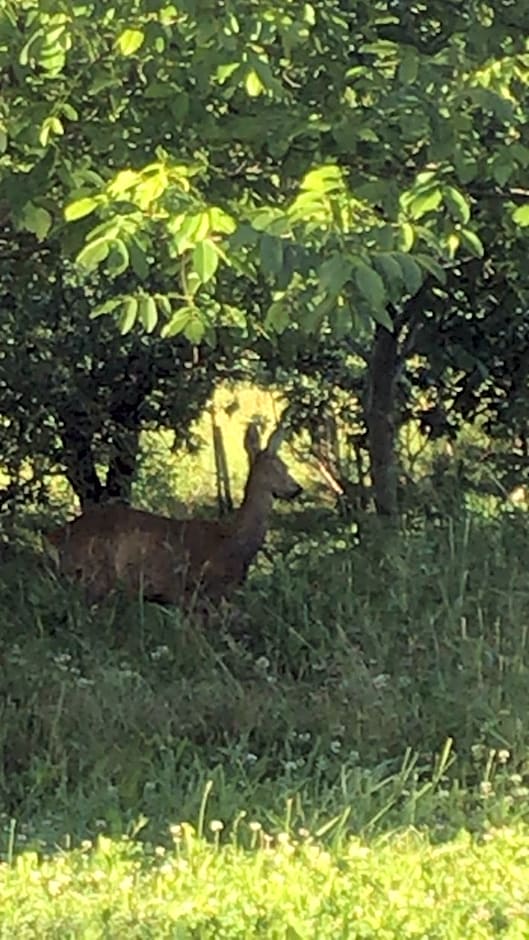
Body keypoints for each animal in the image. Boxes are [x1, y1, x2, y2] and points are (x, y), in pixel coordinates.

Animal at [45, 418, 302, 608]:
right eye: (274, 469)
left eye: (286, 466)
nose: (297, 488)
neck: (232, 541)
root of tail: (52, 537)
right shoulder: (196, 592)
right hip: (93, 574)